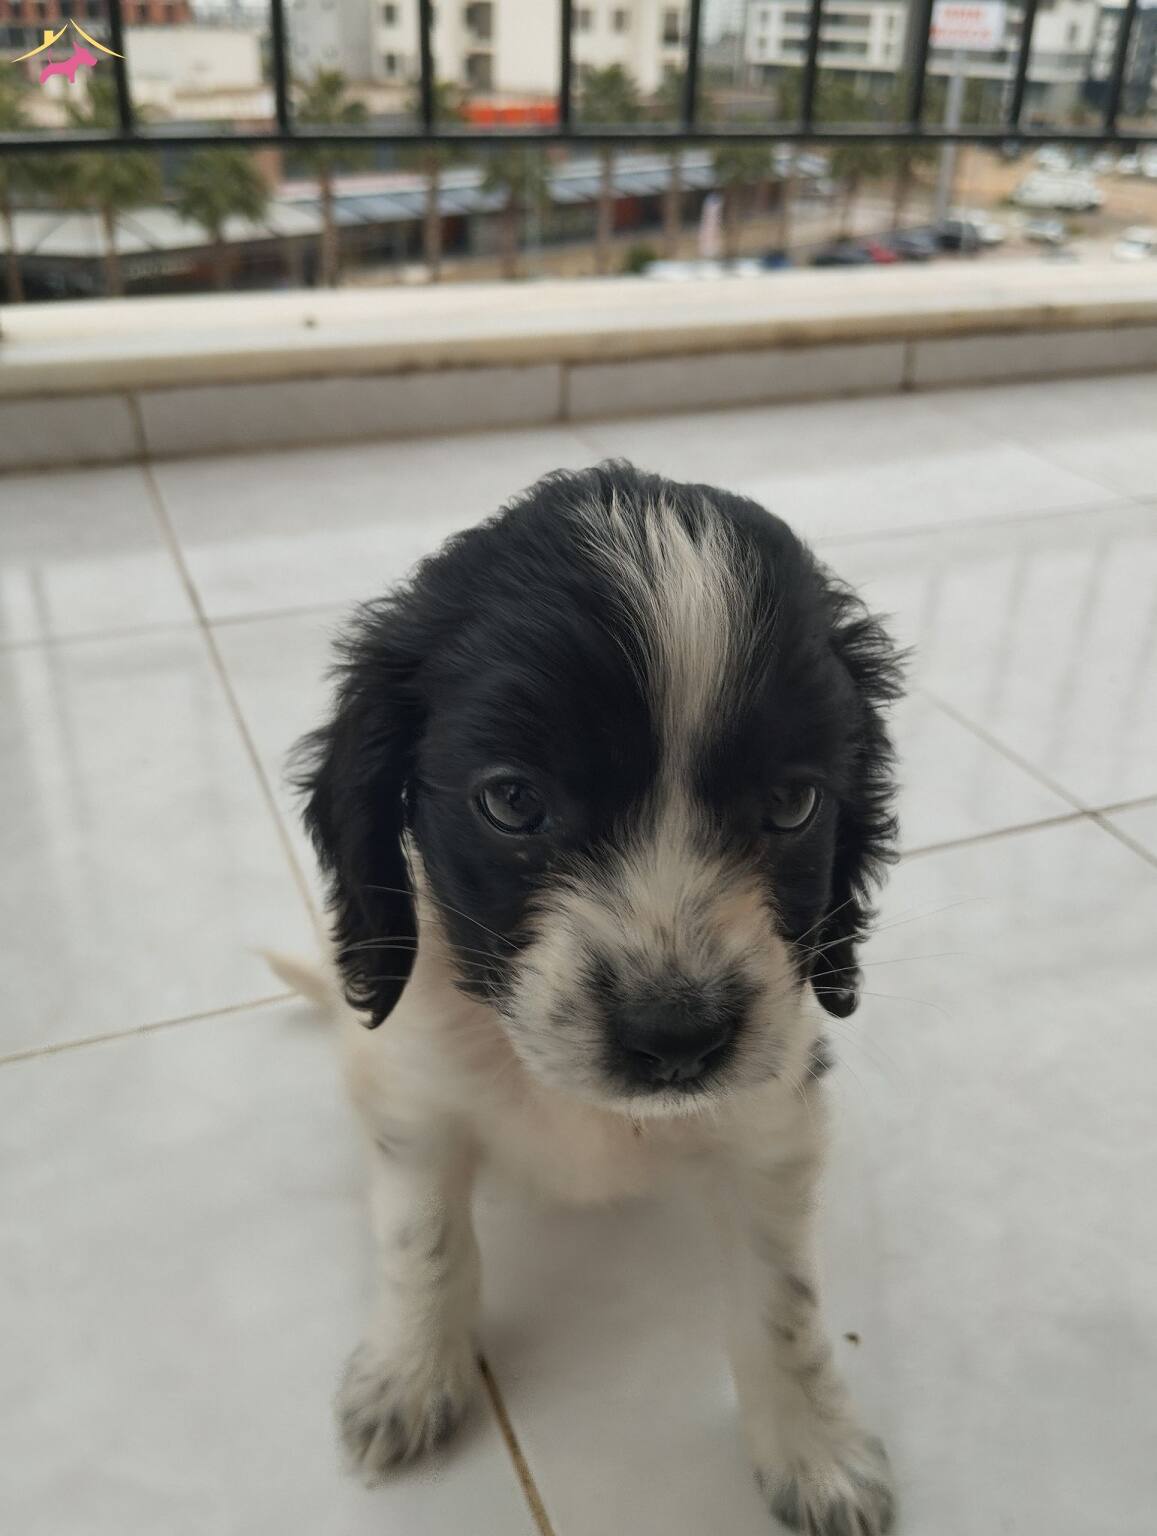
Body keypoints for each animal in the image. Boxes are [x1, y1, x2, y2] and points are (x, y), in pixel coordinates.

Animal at [288, 462, 903, 1534]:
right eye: (511, 801)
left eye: (793, 804)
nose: (677, 1038)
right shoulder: (418, 1100)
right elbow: (423, 1241)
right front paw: (409, 1376)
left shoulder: (769, 1126)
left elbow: (781, 1308)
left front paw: (815, 1452)